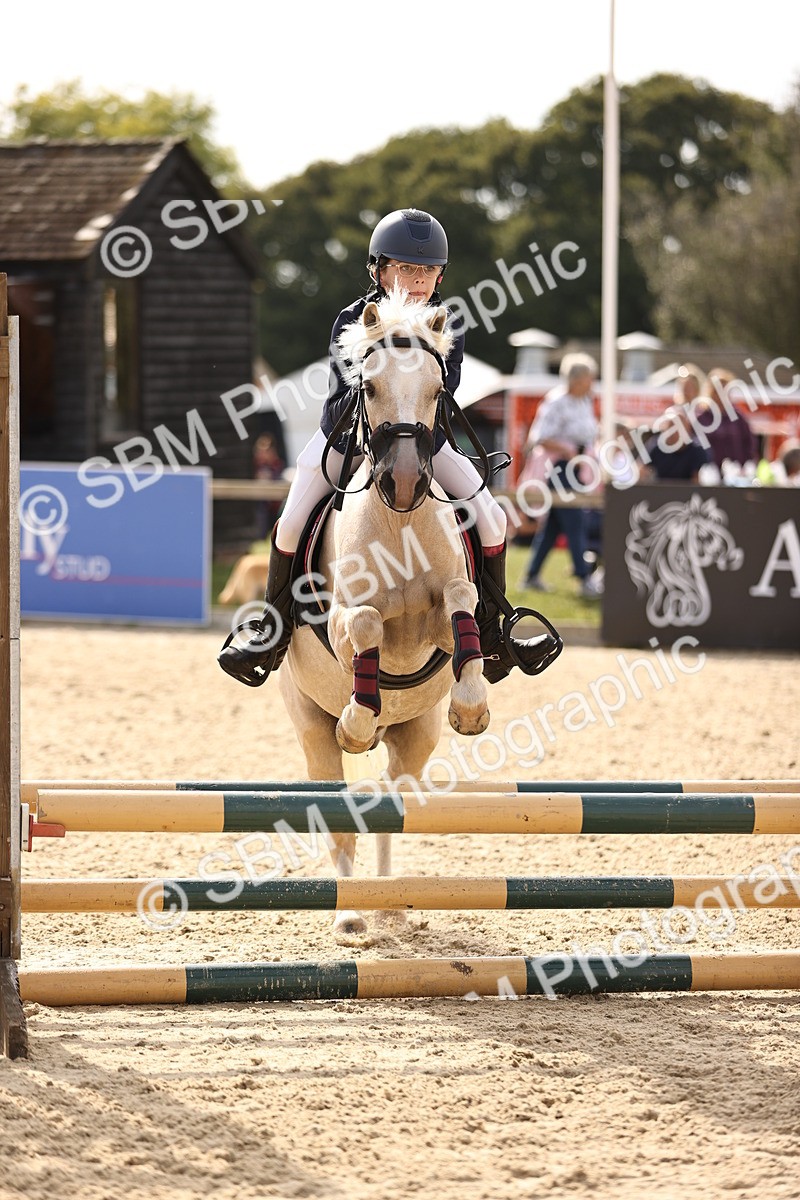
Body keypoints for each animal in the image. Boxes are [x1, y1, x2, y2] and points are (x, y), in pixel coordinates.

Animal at [278, 291, 492, 937]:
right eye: (367, 388)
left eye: (436, 389)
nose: (402, 480)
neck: (399, 524)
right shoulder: (345, 618)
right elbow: (367, 624)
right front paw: (357, 717)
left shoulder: (441, 619)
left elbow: (462, 608)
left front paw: (472, 708)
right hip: (310, 727)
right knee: (337, 813)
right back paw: (350, 913)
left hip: (416, 734)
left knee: (389, 805)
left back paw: (389, 899)